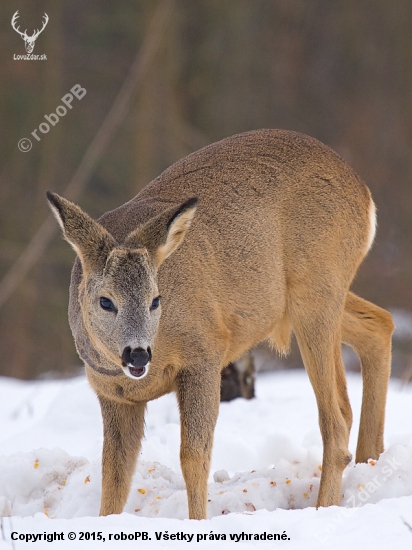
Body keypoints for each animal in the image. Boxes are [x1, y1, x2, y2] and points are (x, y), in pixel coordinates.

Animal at [46, 129, 394, 520]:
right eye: (105, 301)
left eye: (156, 299)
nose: (137, 355)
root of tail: (364, 193)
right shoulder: (111, 394)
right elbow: (114, 474)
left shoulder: (204, 355)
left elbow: (193, 457)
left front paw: (198, 523)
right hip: (305, 300)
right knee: (380, 325)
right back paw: (370, 466)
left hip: (318, 288)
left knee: (336, 420)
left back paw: (325, 507)